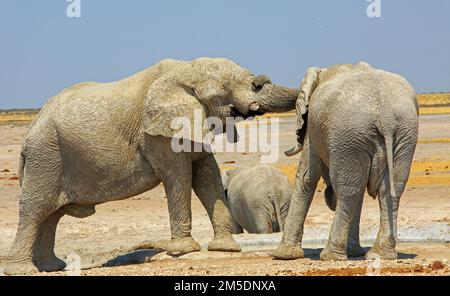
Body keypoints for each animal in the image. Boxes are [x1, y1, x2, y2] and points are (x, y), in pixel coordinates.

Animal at [4, 56, 298, 274]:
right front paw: (185, 251)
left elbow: (207, 176)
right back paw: (24, 271)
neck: (187, 69)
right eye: (224, 89)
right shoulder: (159, 134)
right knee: (36, 210)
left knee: (51, 215)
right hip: (46, 156)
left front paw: (225, 248)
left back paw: (51, 267)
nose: (261, 81)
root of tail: (32, 126)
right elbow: (179, 176)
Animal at [272, 63, 420, 262]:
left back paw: (330, 256)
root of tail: (386, 116)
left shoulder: (312, 127)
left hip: (350, 135)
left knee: (348, 191)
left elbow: (306, 178)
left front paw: (282, 255)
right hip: (402, 134)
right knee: (388, 189)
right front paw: (355, 252)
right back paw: (381, 255)